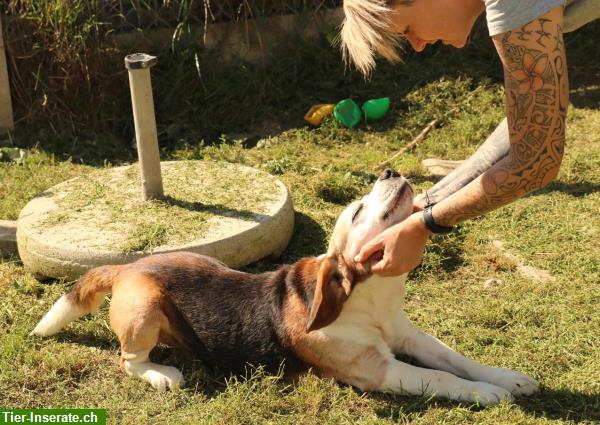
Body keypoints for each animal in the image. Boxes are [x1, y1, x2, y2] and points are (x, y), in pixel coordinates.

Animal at [29, 168, 540, 404]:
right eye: (357, 211)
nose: (389, 172)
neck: (370, 300)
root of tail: (127, 268)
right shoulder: (379, 371)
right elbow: (439, 378)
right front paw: (488, 394)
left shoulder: (410, 338)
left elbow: (454, 360)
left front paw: (505, 378)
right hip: (145, 308)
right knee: (128, 361)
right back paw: (162, 374)